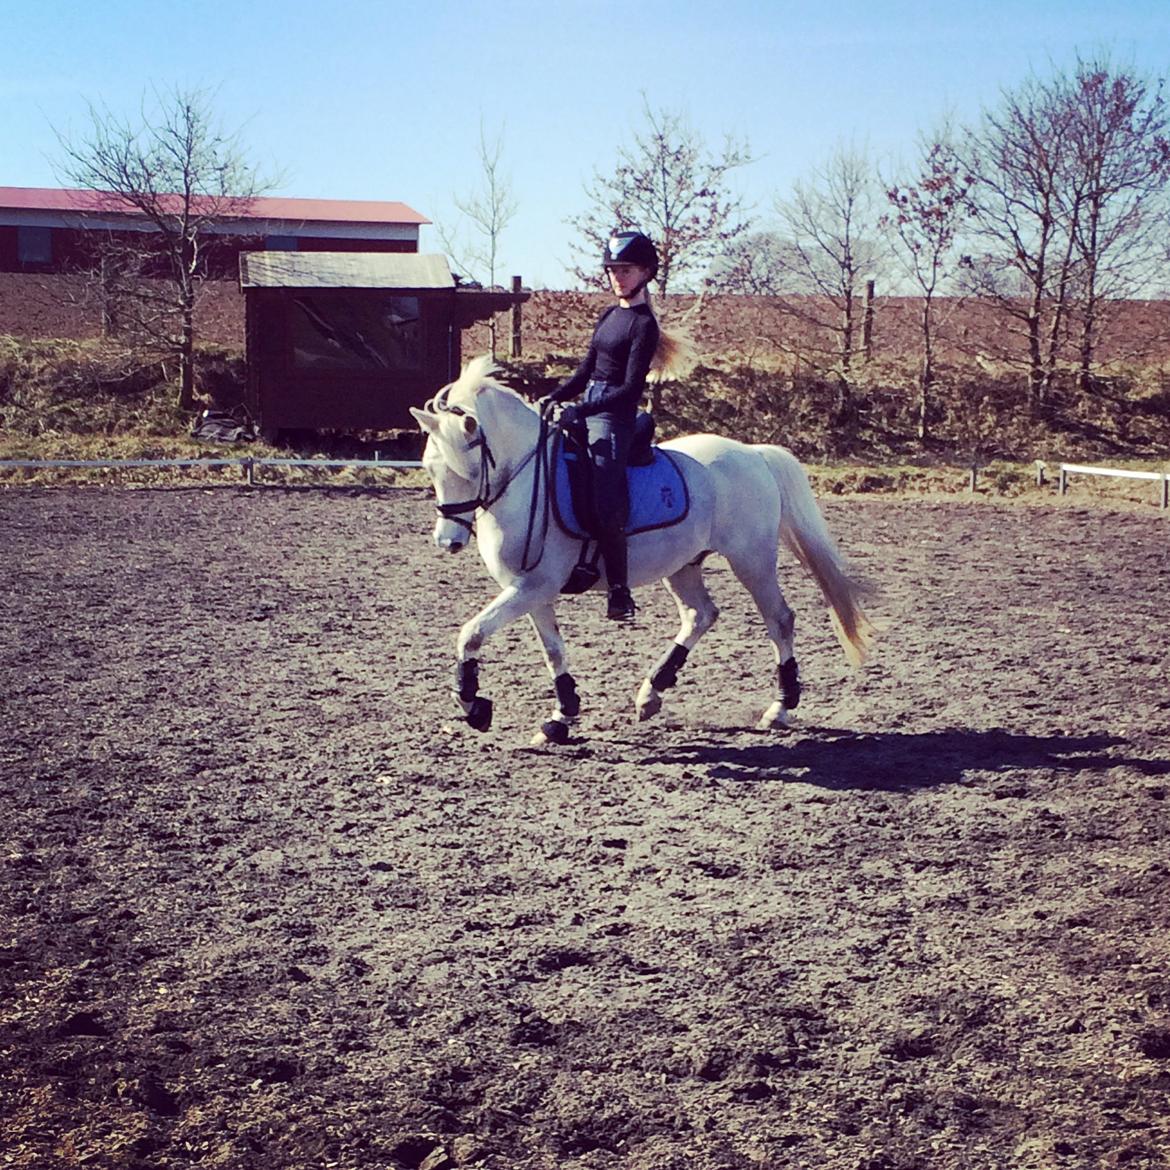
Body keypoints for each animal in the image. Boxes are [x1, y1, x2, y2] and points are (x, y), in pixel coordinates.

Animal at [410, 356, 874, 745]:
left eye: (467, 470)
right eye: (430, 468)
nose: (447, 541)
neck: (526, 477)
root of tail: (752, 453)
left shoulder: (532, 587)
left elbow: (471, 634)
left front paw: (473, 705)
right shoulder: (531, 590)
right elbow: (552, 651)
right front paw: (561, 718)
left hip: (752, 560)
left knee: (779, 620)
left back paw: (780, 708)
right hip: (684, 564)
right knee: (700, 614)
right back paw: (651, 693)